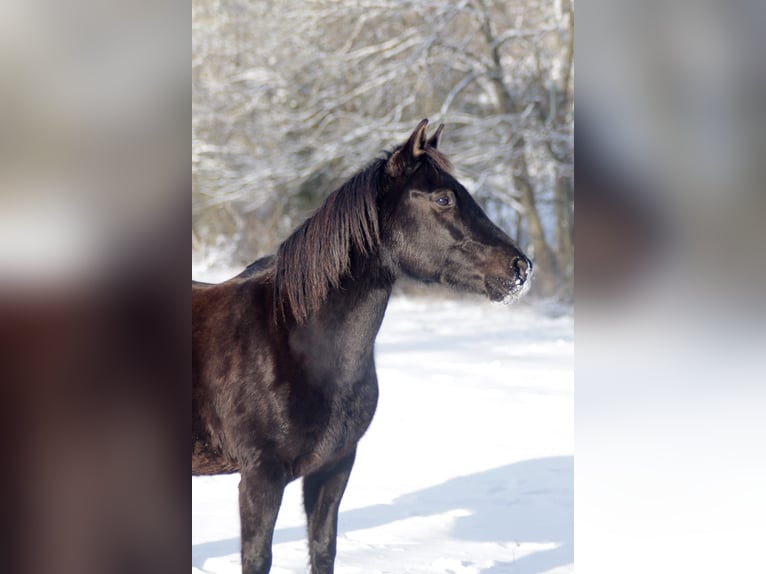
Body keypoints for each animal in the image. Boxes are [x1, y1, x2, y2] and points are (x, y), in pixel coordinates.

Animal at [192, 120, 533, 574]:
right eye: (443, 198)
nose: (520, 268)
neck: (296, 340)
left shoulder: (334, 467)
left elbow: (323, 548)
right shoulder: (261, 477)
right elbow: (257, 557)